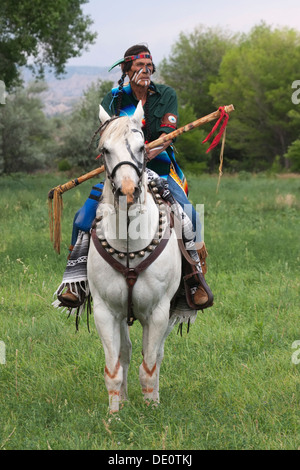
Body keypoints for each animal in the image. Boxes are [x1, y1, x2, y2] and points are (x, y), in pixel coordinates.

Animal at [85, 103, 182, 412]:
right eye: (105, 149)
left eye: (142, 148)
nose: (128, 191)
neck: (129, 246)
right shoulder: (105, 312)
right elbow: (114, 368)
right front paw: (115, 413)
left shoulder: (159, 312)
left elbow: (150, 365)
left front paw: (153, 409)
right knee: (125, 352)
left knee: (157, 353)